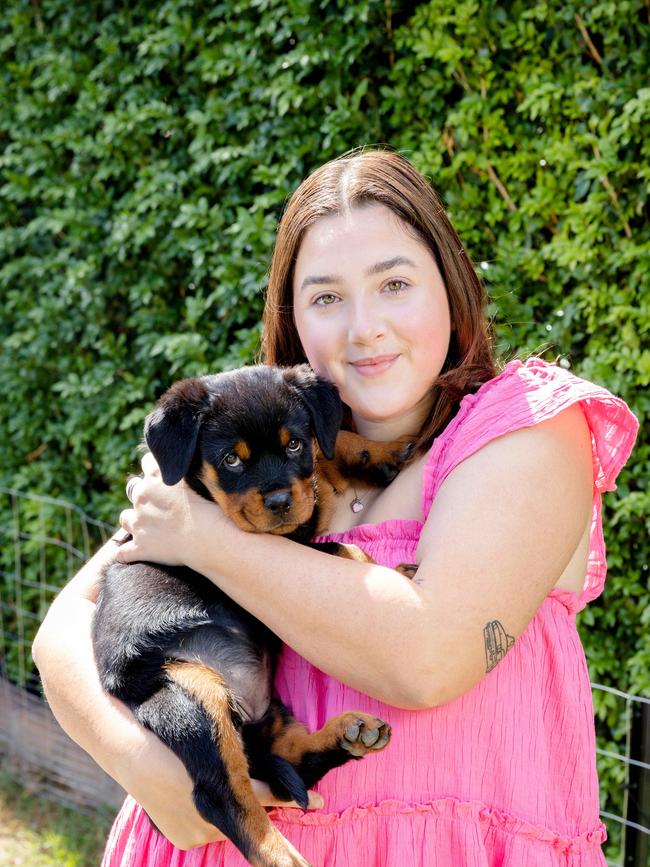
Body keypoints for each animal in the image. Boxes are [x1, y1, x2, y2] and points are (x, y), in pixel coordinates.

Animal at [93, 366, 412, 867]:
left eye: (293, 444)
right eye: (231, 460)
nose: (279, 500)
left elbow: (327, 445)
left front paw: (377, 451)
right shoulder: (266, 559)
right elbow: (342, 550)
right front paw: (389, 570)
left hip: (266, 712)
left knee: (290, 760)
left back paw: (348, 735)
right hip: (188, 692)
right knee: (223, 796)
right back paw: (285, 856)